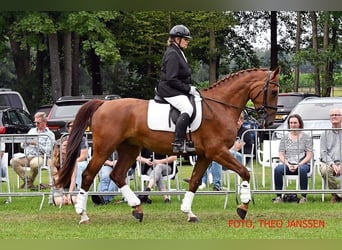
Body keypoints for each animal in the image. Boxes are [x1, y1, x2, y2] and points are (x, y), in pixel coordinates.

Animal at [56, 66, 280, 223]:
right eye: (273, 92)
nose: (268, 122)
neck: (219, 108)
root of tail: (104, 104)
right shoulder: (217, 151)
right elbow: (245, 172)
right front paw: (243, 207)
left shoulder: (206, 154)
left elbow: (195, 181)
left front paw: (189, 213)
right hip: (104, 149)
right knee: (88, 175)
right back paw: (83, 215)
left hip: (129, 149)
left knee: (117, 175)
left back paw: (137, 209)